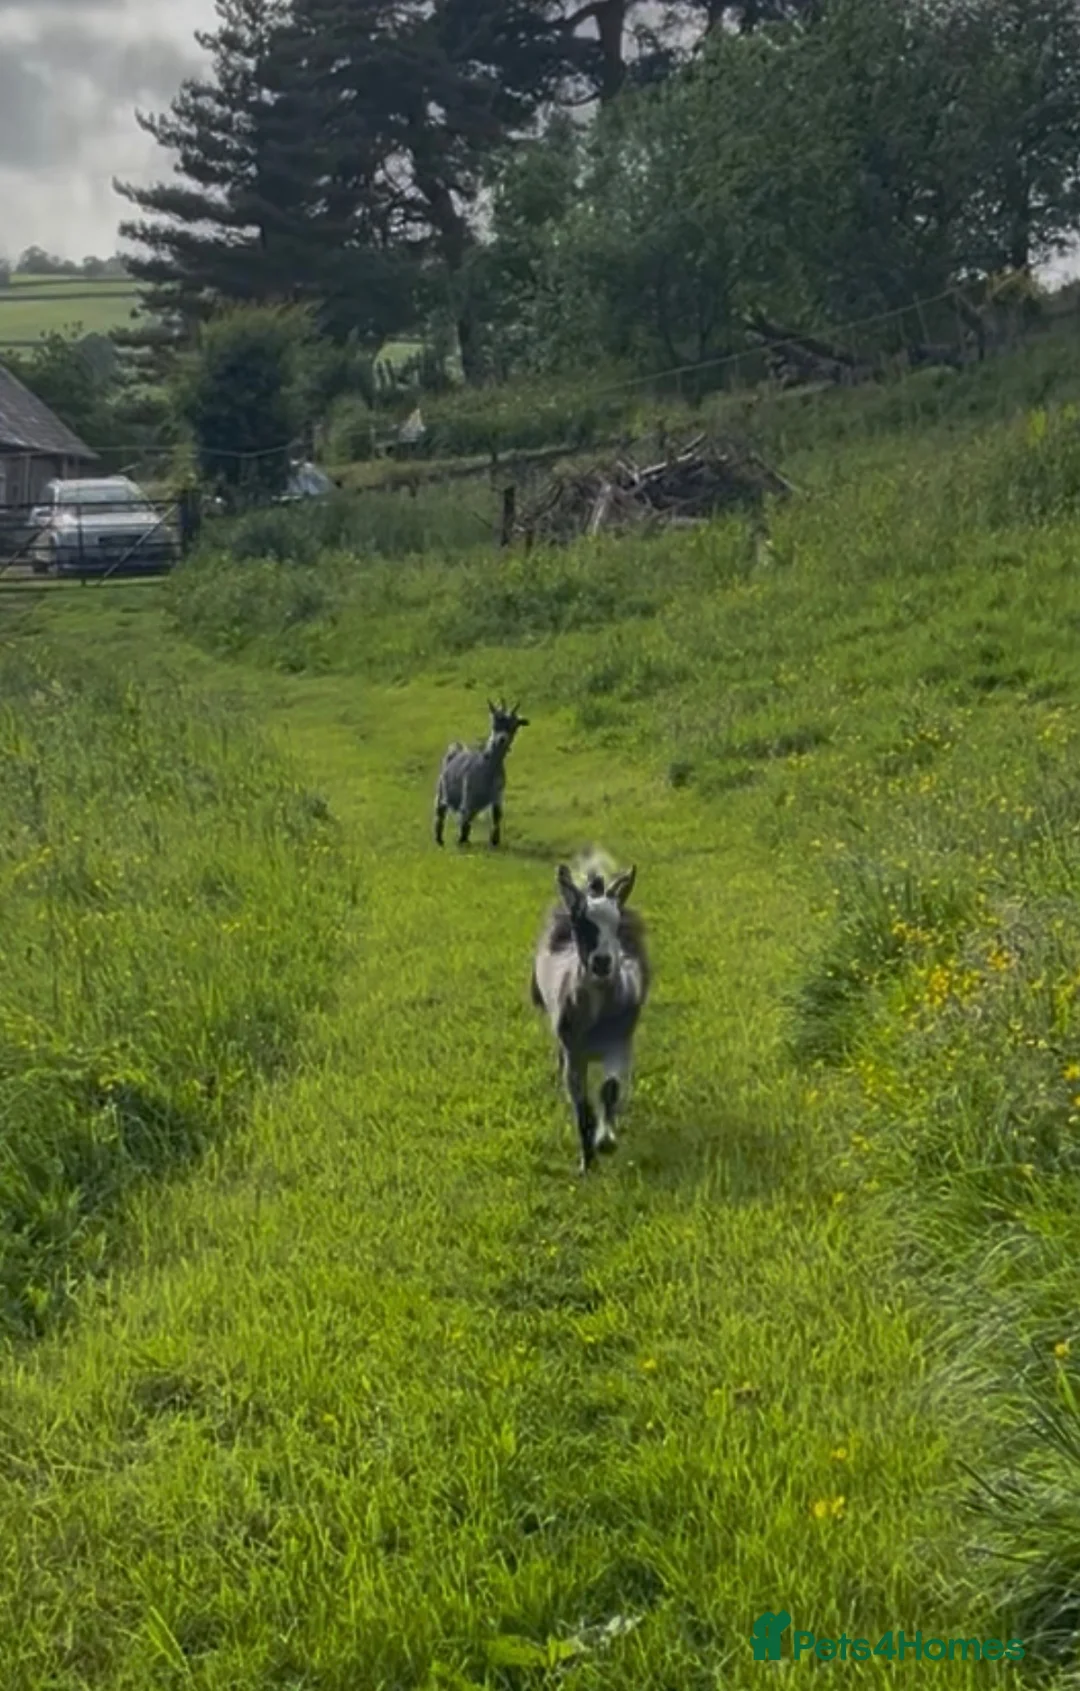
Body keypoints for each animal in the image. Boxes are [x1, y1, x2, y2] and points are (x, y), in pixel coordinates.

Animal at [434, 698, 529, 848]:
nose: (501, 739)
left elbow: (497, 816)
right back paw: (440, 839)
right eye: (495, 723)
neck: (488, 767)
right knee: (441, 812)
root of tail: (456, 749)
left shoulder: (497, 794)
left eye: (513, 727)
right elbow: (465, 813)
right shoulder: (468, 791)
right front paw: (461, 841)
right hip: (442, 790)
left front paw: (495, 841)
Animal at [530, 857, 650, 1174]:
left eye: (617, 925)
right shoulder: (575, 1053)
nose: (603, 962)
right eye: (582, 924)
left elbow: (610, 1089)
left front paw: (605, 1141)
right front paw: (587, 1163)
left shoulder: (619, 1045)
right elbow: (581, 1107)